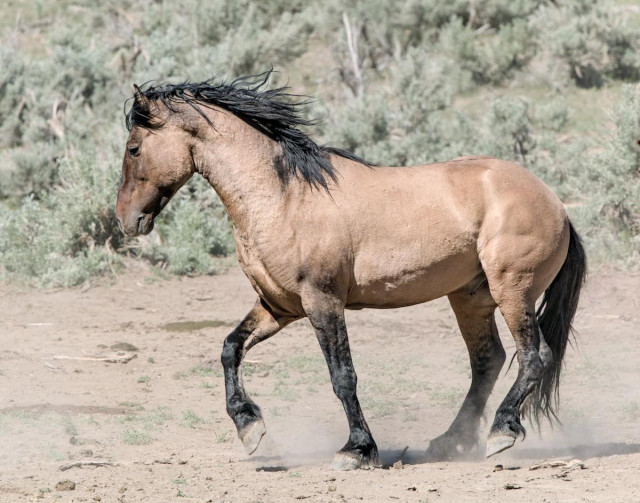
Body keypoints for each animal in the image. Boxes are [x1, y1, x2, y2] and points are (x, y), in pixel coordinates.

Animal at [115, 72, 586, 470]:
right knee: (488, 362)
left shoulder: (322, 301)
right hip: (470, 297)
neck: (283, 196)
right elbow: (230, 348)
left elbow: (342, 376)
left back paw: (501, 432)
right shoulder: (279, 306)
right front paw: (249, 428)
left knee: (534, 356)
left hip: (513, 291)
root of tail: (556, 205)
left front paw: (357, 450)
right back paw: (450, 442)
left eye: (134, 147)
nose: (126, 220)